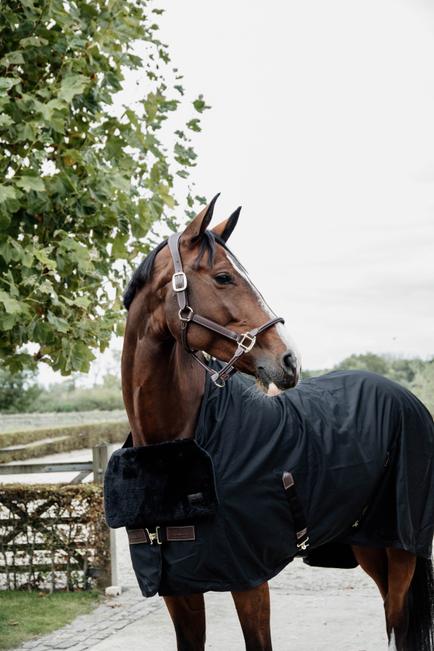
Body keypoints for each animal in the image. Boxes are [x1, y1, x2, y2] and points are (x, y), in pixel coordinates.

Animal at [117, 195, 434, 650]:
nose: (290, 360)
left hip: (402, 548)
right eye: (224, 277)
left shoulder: (250, 583)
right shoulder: (178, 592)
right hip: (368, 545)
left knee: (399, 622)